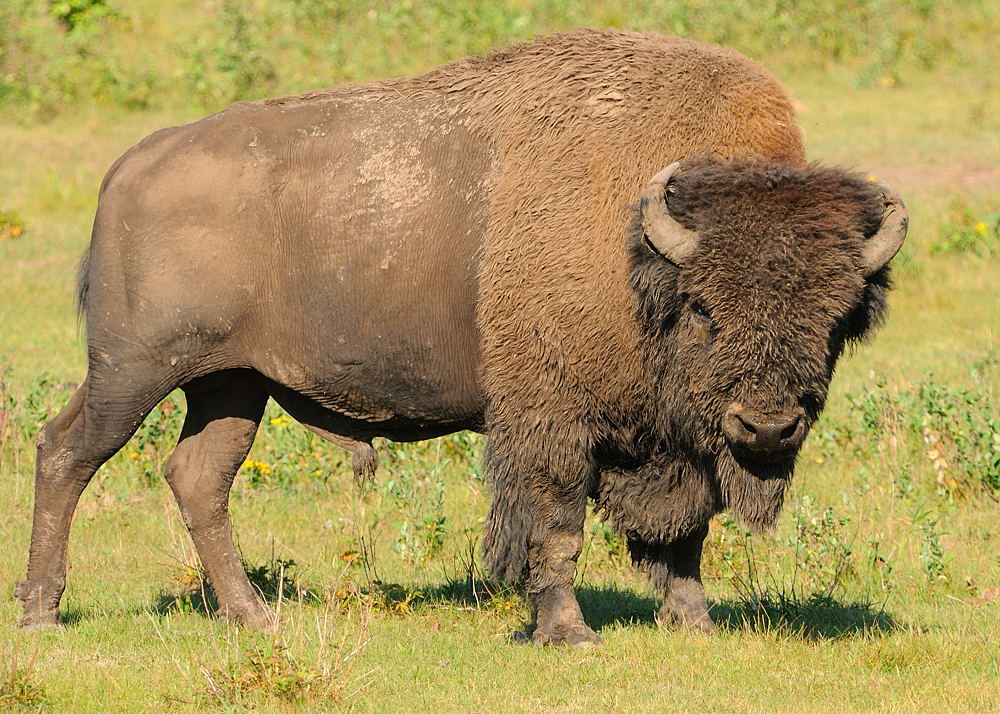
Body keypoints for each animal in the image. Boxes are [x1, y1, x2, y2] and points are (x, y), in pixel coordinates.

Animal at [16, 29, 906, 646]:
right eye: (705, 308)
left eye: (837, 318)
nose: (769, 427)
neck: (638, 247)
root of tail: (131, 166)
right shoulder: (551, 423)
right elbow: (556, 527)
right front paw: (569, 634)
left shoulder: (669, 441)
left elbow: (681, 535)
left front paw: (694, 625)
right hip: (134, 370)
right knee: (66, 452)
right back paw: (42, 616)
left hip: (231, 384)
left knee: (199, 478)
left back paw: (255, 617)